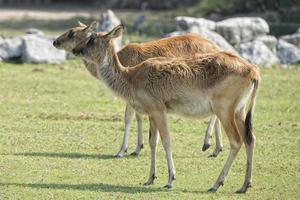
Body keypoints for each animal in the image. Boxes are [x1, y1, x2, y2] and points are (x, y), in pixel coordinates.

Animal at [53, 20, 223, 158]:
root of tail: (217, 47)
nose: (55, 41)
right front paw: (137, 148)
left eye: (72, 33)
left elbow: (128, 117)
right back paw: (216, 149)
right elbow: (138, 116)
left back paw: (207, 143)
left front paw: (122, 151)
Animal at [72, 24, 260, 193]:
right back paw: (244, 185)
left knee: (236, 141)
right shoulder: (151, 112)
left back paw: (216, 183)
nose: (75, 50)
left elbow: (166, 140)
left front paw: (170, 180)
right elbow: (152, 141)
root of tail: (254, 72)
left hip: (224, 108)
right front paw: (150, 178)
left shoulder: (158, 109)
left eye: (92, 39)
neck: (131, 78)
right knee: (250, 138)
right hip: (239, 111)